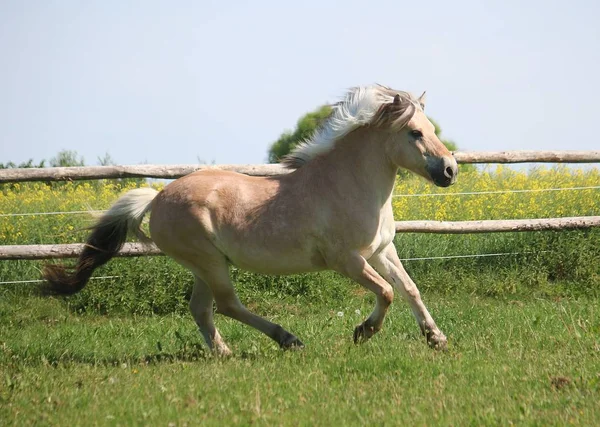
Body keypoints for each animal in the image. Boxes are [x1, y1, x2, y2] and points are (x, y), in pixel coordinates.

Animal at [43, 85, 460, 356]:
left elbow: (409, 289)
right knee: (227, 305)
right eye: (415, 132)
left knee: (202, 309)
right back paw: (288, 340)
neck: (349, 184)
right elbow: (387, 292)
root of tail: (157, 198)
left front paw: (436, 339)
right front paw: (363, 332)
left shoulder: (381, 251)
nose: (450, 170)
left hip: (203, 266)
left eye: (432, 130)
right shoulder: (347, 260)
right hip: (209, 262)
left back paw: (224, 353)